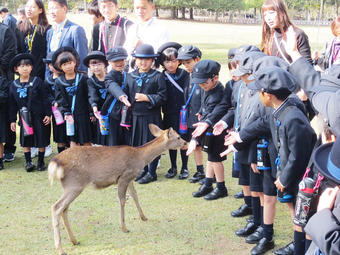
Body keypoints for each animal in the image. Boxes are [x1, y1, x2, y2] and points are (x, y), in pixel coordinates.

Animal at [47, 124, 186, 255]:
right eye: (178, 137)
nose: (186, 143)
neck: (140, 157)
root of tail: (54, 163)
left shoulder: (130, 178)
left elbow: (135, 195)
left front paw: (144, 217)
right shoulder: (124, 176)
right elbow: (122, 200)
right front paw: (124, 228)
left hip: (70, 186)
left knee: (64, 209)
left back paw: (74, 240)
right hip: (74, 185)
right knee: (56, 207)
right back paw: (61, 249)